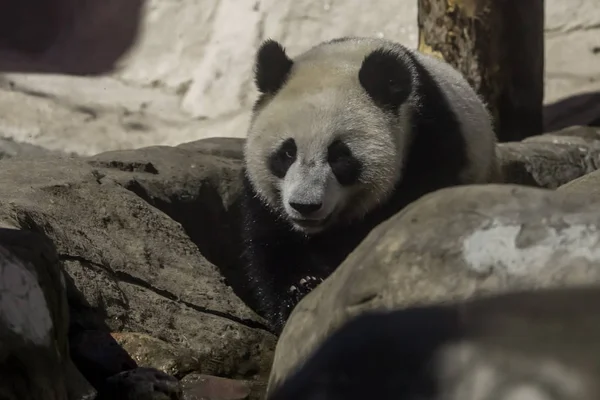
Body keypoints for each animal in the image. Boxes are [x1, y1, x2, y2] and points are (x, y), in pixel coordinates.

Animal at [239, 36, 496, 332]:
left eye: (340, 156)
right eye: (287, 152)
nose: (305, 206)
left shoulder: (428, 147)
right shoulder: (265, 199)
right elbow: (270, 243)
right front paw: (299, 290)